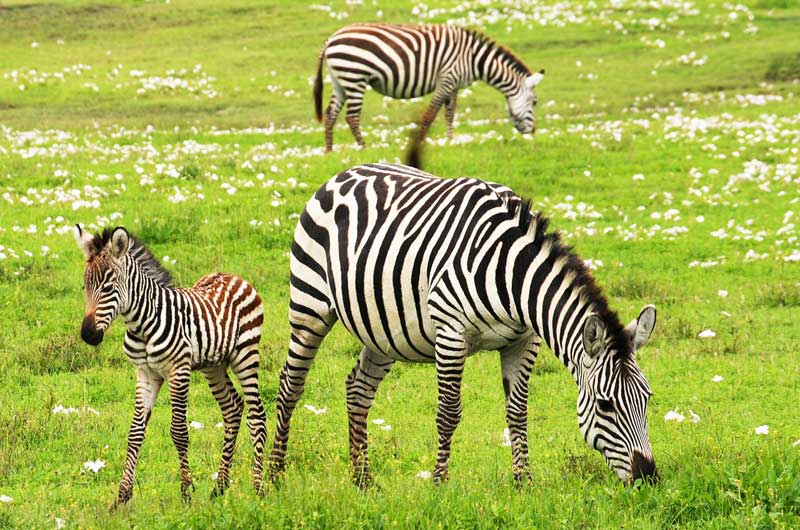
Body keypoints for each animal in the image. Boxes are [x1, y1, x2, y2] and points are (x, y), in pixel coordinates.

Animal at [74, 225, 266, 506]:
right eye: (85, 286)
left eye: (108, 287)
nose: (88, 335)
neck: (141, 324)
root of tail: (232, 276)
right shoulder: (145, 374)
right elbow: (135, 433)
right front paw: (122, 497)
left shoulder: (178, 370)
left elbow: (179, 432)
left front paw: (186, 492)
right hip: (214, 366)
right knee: (232, 408)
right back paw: (219, 487)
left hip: (245, 355)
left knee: (257, 415)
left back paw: (259, 487)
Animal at [272, 164, 660, 486]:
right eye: (606, 405)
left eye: (647, 398)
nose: (648, 477)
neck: (512, 276)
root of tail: (342, 173)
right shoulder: (451, 333)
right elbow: (448, 412)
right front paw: (439, 481)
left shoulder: (524, 341)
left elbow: (517, 413)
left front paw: (524, 483)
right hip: (309, 305)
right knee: (290, 385)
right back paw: (272, 477)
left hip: (383, 330)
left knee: (358, 389)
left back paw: (363, 479)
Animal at [312, 22, 544, 151]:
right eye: (534, 102)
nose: (532, 131)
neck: (473, 59)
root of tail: (331, 39)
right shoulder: (447, 78)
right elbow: (431, 114)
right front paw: (421, 142)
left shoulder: (454, 85)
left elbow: (449, 113)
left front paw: (450, 141)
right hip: (355, 77)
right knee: (351, 117)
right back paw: (364, 147)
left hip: (340, 80)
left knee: (330, 113)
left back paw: (329, 150)